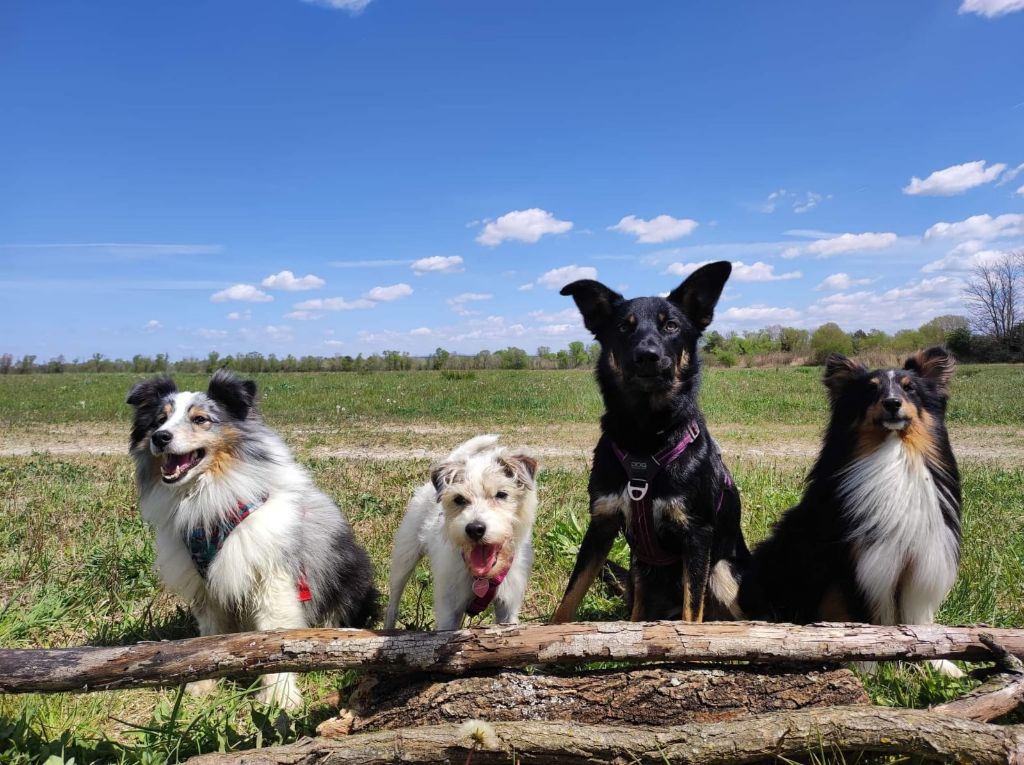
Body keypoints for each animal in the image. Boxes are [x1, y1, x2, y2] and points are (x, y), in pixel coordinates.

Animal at [548, 262, 749, 622]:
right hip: (640, 569)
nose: (647, 355)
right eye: (624, 328)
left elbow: (692, 612)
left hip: (723, 572)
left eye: (671, 325)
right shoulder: (600, 525)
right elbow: (570, 596)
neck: (645, 437)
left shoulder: (697, 535)